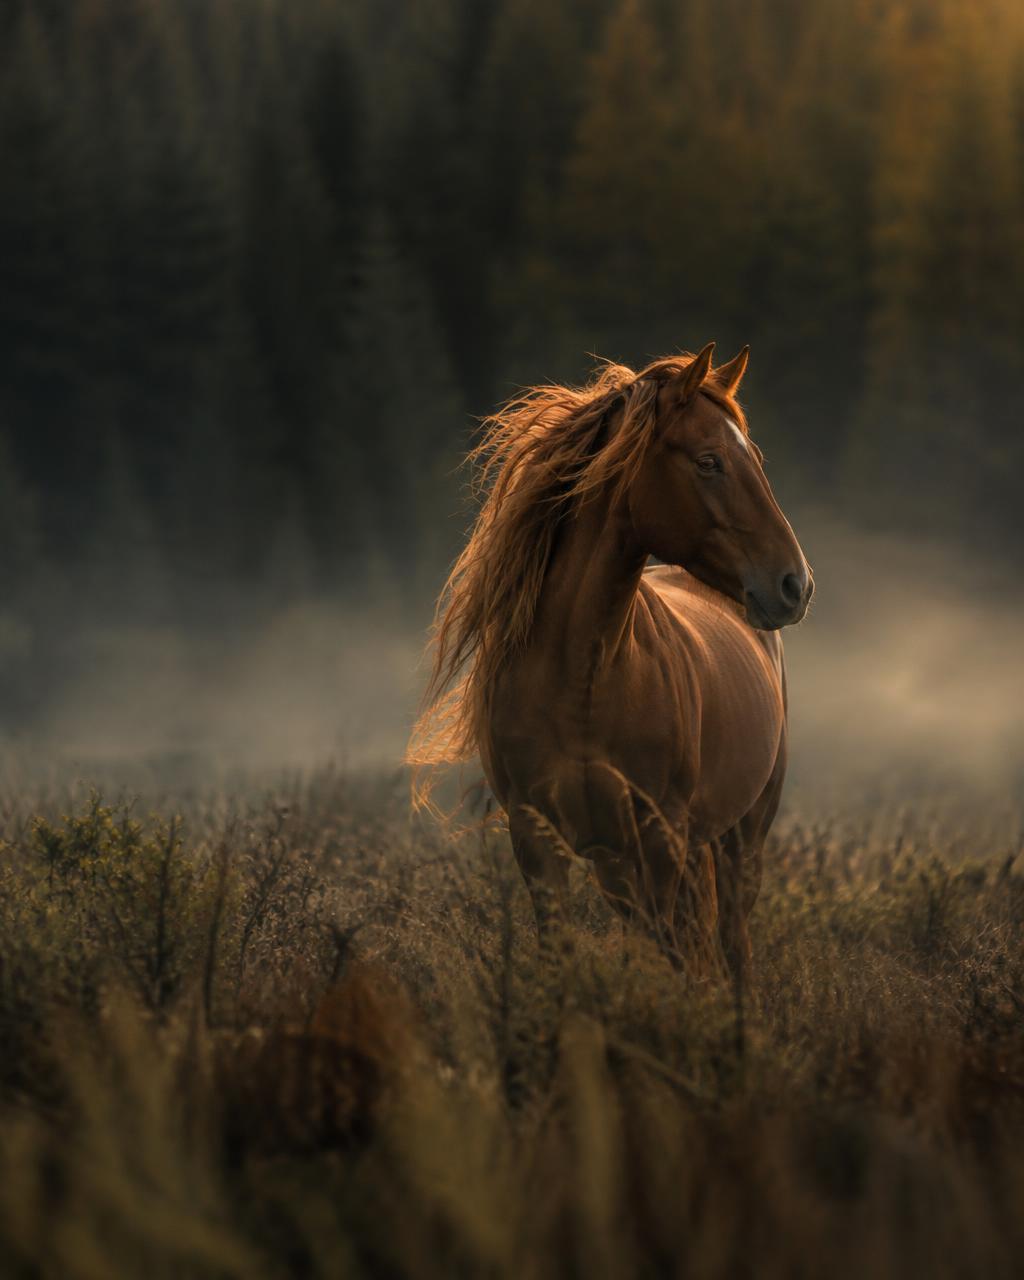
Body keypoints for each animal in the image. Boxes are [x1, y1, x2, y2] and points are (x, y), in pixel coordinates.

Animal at [409, 343, 812, 978]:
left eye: (753, 458)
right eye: (708, 462)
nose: (794, 584)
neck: (580, 680)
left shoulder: (660, 838)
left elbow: (669, 958)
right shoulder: (539, 839)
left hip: (742, 836)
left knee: (732, 945)